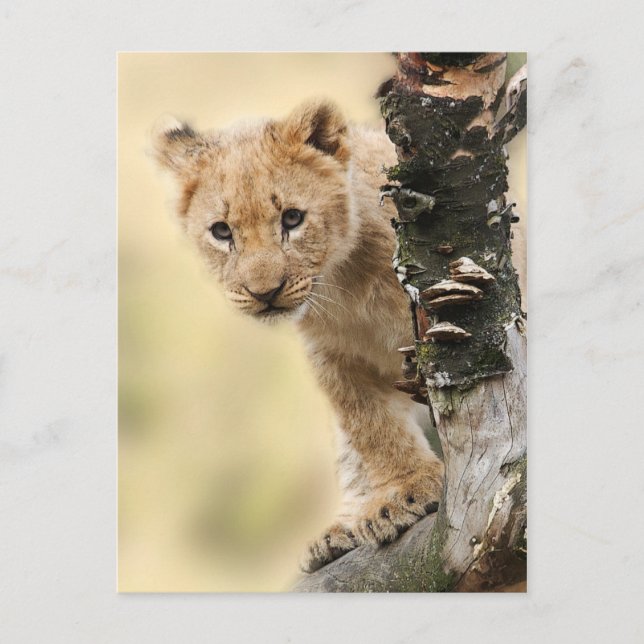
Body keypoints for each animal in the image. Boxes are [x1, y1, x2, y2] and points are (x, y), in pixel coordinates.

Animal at [152, 100, 443, 573]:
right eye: (221, 231)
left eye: (292, 218)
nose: (264, 293)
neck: (344, 282)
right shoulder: (331, 357)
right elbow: (370, 427)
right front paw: (402, 491)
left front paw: (408, 494)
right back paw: (340, 530)